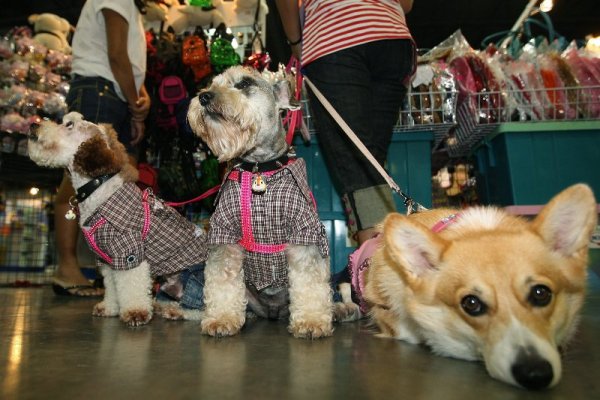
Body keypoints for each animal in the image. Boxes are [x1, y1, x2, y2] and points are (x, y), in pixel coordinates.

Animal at [28, 112, 209, 324]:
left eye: (69, 124)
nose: (33, 125)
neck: (98, 190)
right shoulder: (108, 261)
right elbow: (113, 288)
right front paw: (110, 308)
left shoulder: (130, 253)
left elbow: (132, 287)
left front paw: (135, 313)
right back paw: (162, 306)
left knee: (205, 308)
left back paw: (178, 312)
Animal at [188, 65, 332, 338]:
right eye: (212, 83)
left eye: (244, 84)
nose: (204, 97)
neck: (259, 169)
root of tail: (272, 311)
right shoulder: (224, 236)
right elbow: (222, 282)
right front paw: (221, 319)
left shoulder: (303, 235)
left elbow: (310, 283)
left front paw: (312, 321)